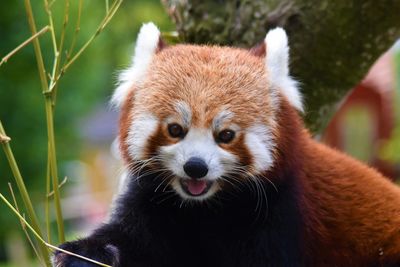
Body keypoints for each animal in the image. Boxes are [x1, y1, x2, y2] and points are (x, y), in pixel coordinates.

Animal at [53, 23, 400, 267]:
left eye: (226, 135)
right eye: (175, 129)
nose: (195, 167)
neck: (208, 208)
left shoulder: (279, 213)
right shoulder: (152, 201)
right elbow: (131, 240)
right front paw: (84, 253)